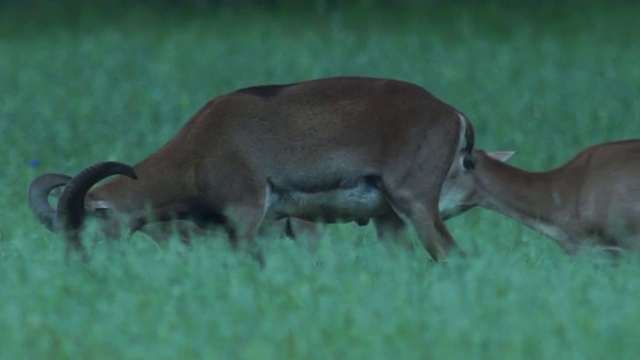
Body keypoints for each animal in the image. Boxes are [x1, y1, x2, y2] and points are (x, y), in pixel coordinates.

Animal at [26, 76, 476, 262]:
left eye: (88, 228)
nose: (79, 268)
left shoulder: (245, 217)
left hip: (415, 205)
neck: (200, 147)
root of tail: (452, 115)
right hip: (388, 219)